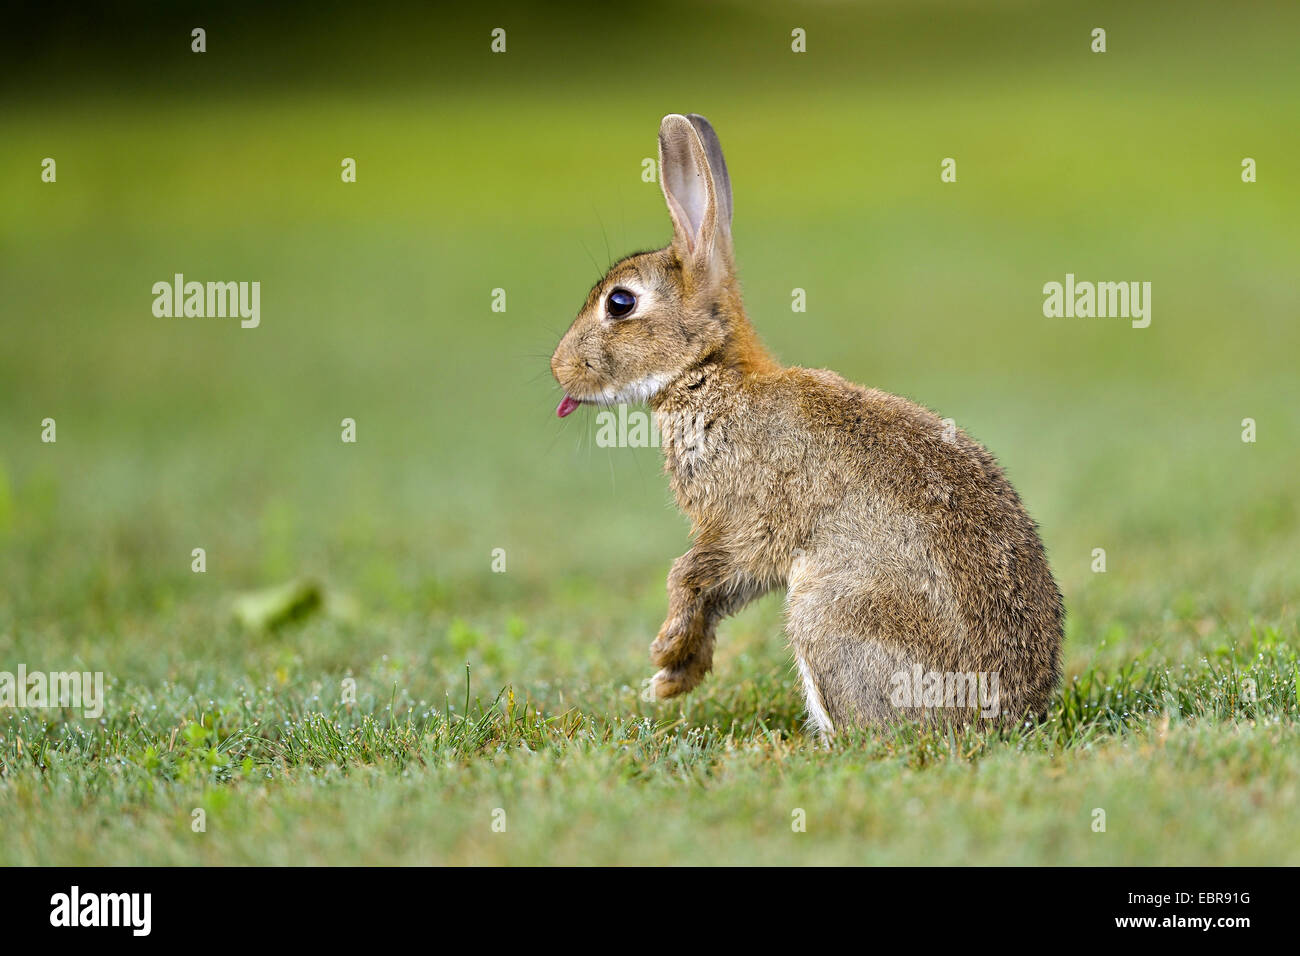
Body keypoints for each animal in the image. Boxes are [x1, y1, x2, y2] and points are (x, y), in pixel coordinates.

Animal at [551, 114, 1063, 733]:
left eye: (620, 303)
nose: (557, 368)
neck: (712, 375)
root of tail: (1006, 717)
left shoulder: (747, 522)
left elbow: (691, 573)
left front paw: (666, 656)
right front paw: (677, 675)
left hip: (825, 615)